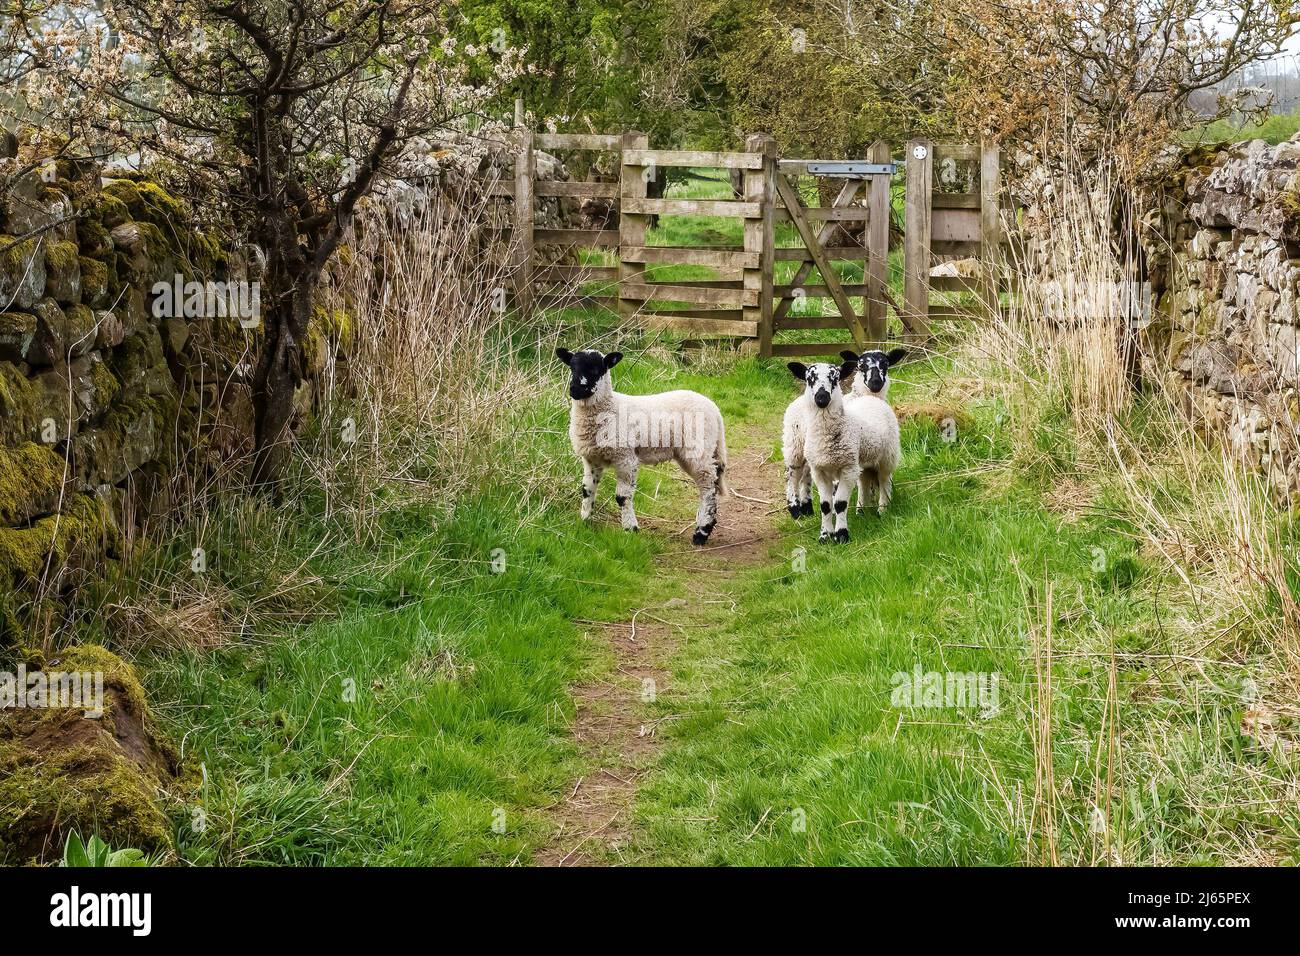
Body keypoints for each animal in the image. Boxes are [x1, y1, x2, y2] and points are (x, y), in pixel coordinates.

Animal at [553, 348, 728, 546]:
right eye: (572, 367)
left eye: (597, 369)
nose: (575, 389)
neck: (609, 408)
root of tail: (715, 410)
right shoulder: (591, 459)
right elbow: (587, 490)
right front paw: (584, 521)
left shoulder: (625, 458)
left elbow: (622, 497)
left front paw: (630, 529)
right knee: (709, 483)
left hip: (699, 448)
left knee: (708, 487)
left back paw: (701, 533)